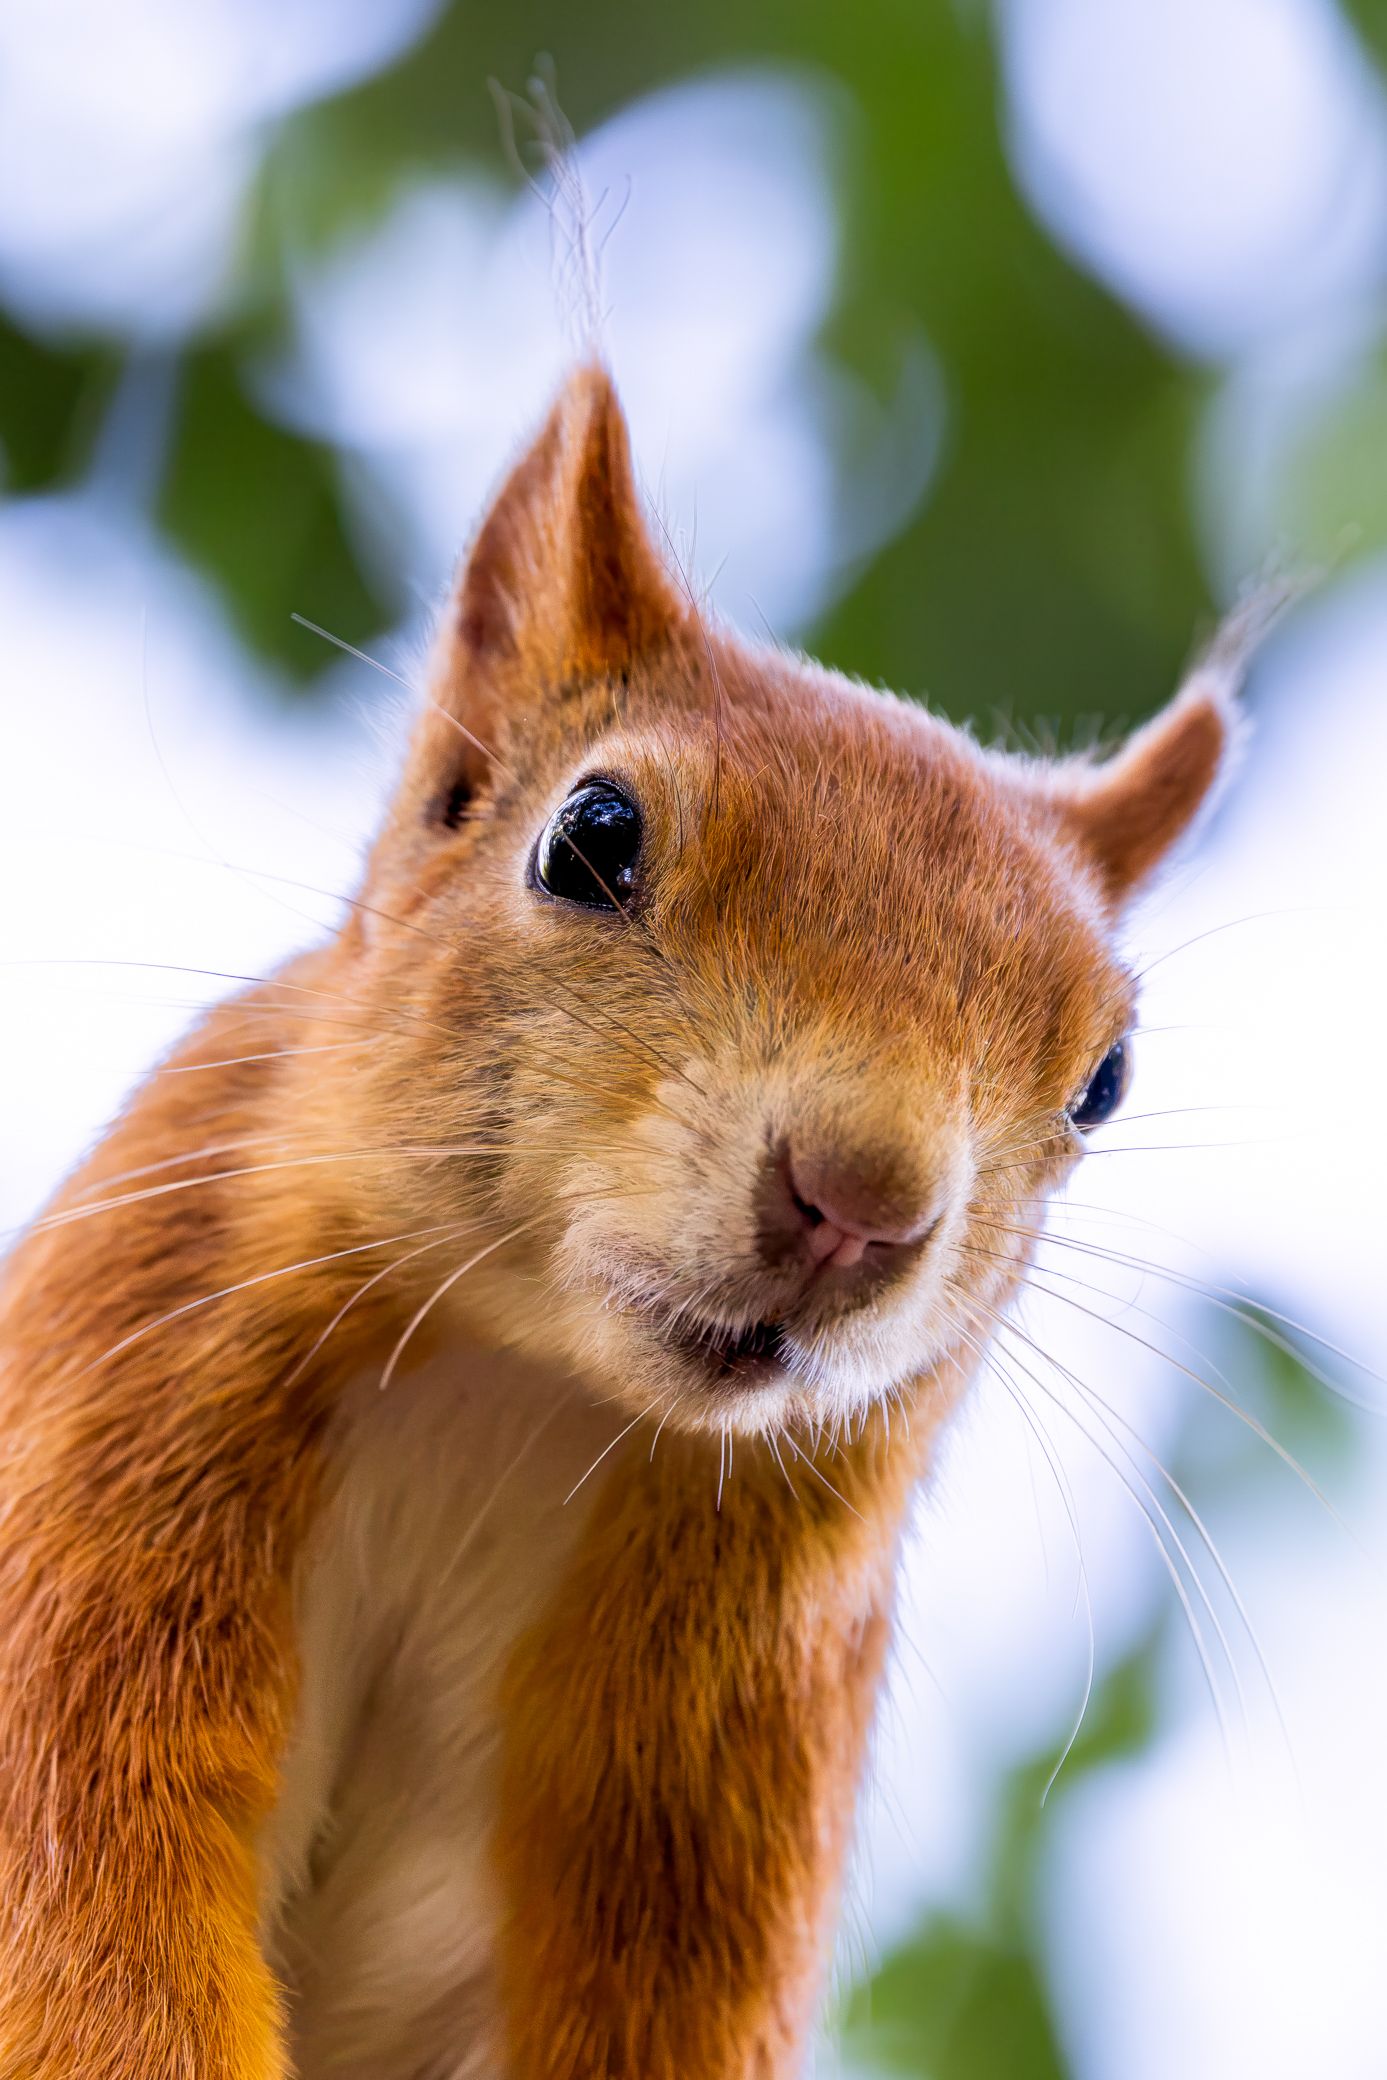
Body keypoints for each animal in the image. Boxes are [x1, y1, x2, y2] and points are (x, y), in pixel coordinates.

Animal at [0, 363, 1240, 2079]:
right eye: (590, 838)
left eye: (1104, 1078)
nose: (857, 1204)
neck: (519, 1391)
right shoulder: (110, 1450)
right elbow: (87, 1925)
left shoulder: (710, 1760)